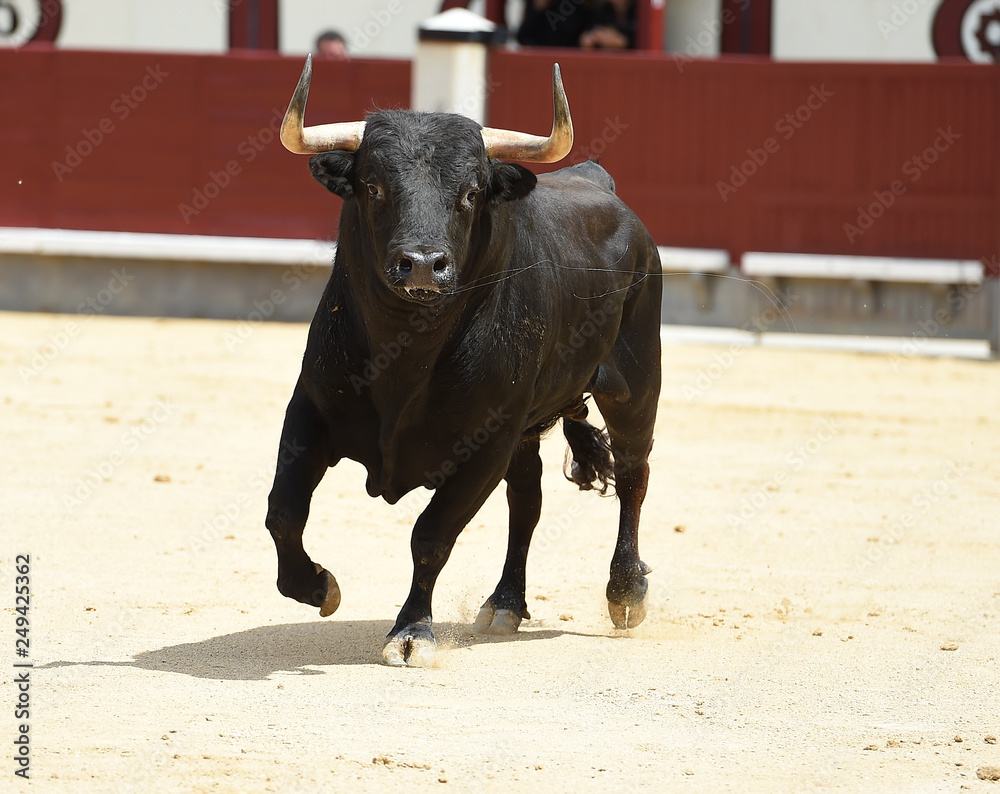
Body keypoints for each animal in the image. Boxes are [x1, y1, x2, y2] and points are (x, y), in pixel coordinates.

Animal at [266, 55, 661, 666]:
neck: (405, 354)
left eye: (472, 192)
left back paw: (625, 592)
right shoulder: (310, 409)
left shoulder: (487, 441)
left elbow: (431, 536)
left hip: (635, 386)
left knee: (633, 475)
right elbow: (283, 511)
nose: (423, 264)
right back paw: (504, 604)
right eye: (373, 185)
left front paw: (412, 632)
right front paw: (317, 586)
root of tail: (597, 179)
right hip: (530, 427)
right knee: (528, 501)